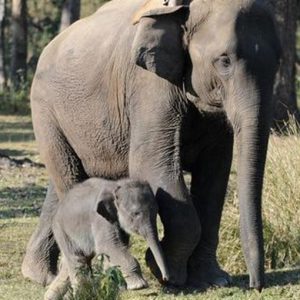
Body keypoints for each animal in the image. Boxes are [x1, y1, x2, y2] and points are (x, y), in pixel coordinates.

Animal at [22, 0, 280, 290]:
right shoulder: (149, 86)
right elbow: (152, 164)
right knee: (69, 177)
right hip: (45, 112)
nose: (256, 285)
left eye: (278, 62)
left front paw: (213, 279)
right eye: (224, 61)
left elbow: (214, 176)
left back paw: (41, 275)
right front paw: (165, 273)